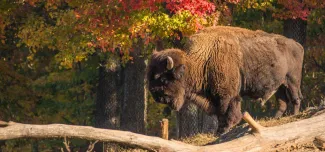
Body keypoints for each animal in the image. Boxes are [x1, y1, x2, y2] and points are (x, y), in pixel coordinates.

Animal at [147, 26, 304, 133]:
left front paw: (226, 128)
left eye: (164, 79)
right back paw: (276, 118)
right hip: (280, 85)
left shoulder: (227, 95)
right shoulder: (214, 97)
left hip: (292, 80)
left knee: (295, 98)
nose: (158, 96)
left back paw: (295, 115)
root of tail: (298, 45)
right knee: (282, 102)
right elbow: (219, 113)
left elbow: (227, 110)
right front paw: (220, 130)